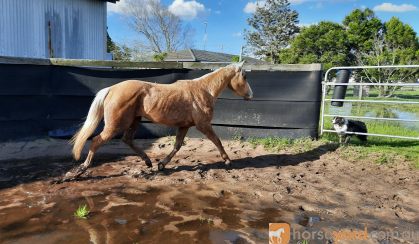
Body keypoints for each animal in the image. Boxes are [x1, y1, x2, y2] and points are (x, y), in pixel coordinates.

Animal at [62, 60, 253, 181]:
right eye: (244, 76)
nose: (251, 95)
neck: (203, 90)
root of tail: (111, 89)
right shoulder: (203, 125)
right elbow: (217, 140)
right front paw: (227, 161)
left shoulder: (184, 126)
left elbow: (177, 146)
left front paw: (161, 164)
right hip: (116, 125)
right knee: (96, 141)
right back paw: (79, 171)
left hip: (134, 121)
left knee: (127, 139)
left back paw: (148, 161)